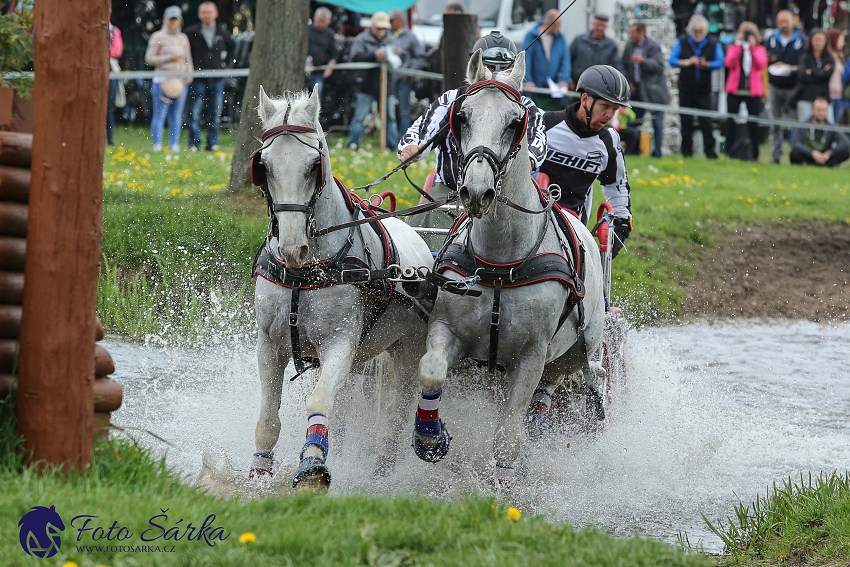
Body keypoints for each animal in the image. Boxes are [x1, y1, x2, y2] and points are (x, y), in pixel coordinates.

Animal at [245, 85, 430, 492]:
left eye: (313, 166)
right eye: (264, 167)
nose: (291, 249)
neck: (304, 274)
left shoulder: (340, 343)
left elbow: (319, 402)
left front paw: (313, 467)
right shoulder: (269, 344)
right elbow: (267, 417)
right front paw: (259, 474)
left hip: (408, 350)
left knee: (397, 407)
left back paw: (382, 469)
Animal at [410, 53, 604, 488]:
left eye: (516, 122)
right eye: (462, 116)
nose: (476, 192)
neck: (501, 262)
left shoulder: (532, 356)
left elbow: (507, 437)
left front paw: (502, 484)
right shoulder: (446, 329)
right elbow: (430, 371)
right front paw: (430, 437)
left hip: (576, 353)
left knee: (551, 395)